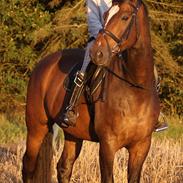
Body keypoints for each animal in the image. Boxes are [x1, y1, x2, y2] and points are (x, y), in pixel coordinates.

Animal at [22, 0, 159, 183]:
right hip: (36, 128)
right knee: (28, 166)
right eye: (105, 15)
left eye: (125, 17)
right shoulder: (108, 145)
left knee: (64, 167)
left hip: (72, 133)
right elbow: (108, 178)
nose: (97, 53)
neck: (135, 88)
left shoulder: (141, 146)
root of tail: (42, 64)